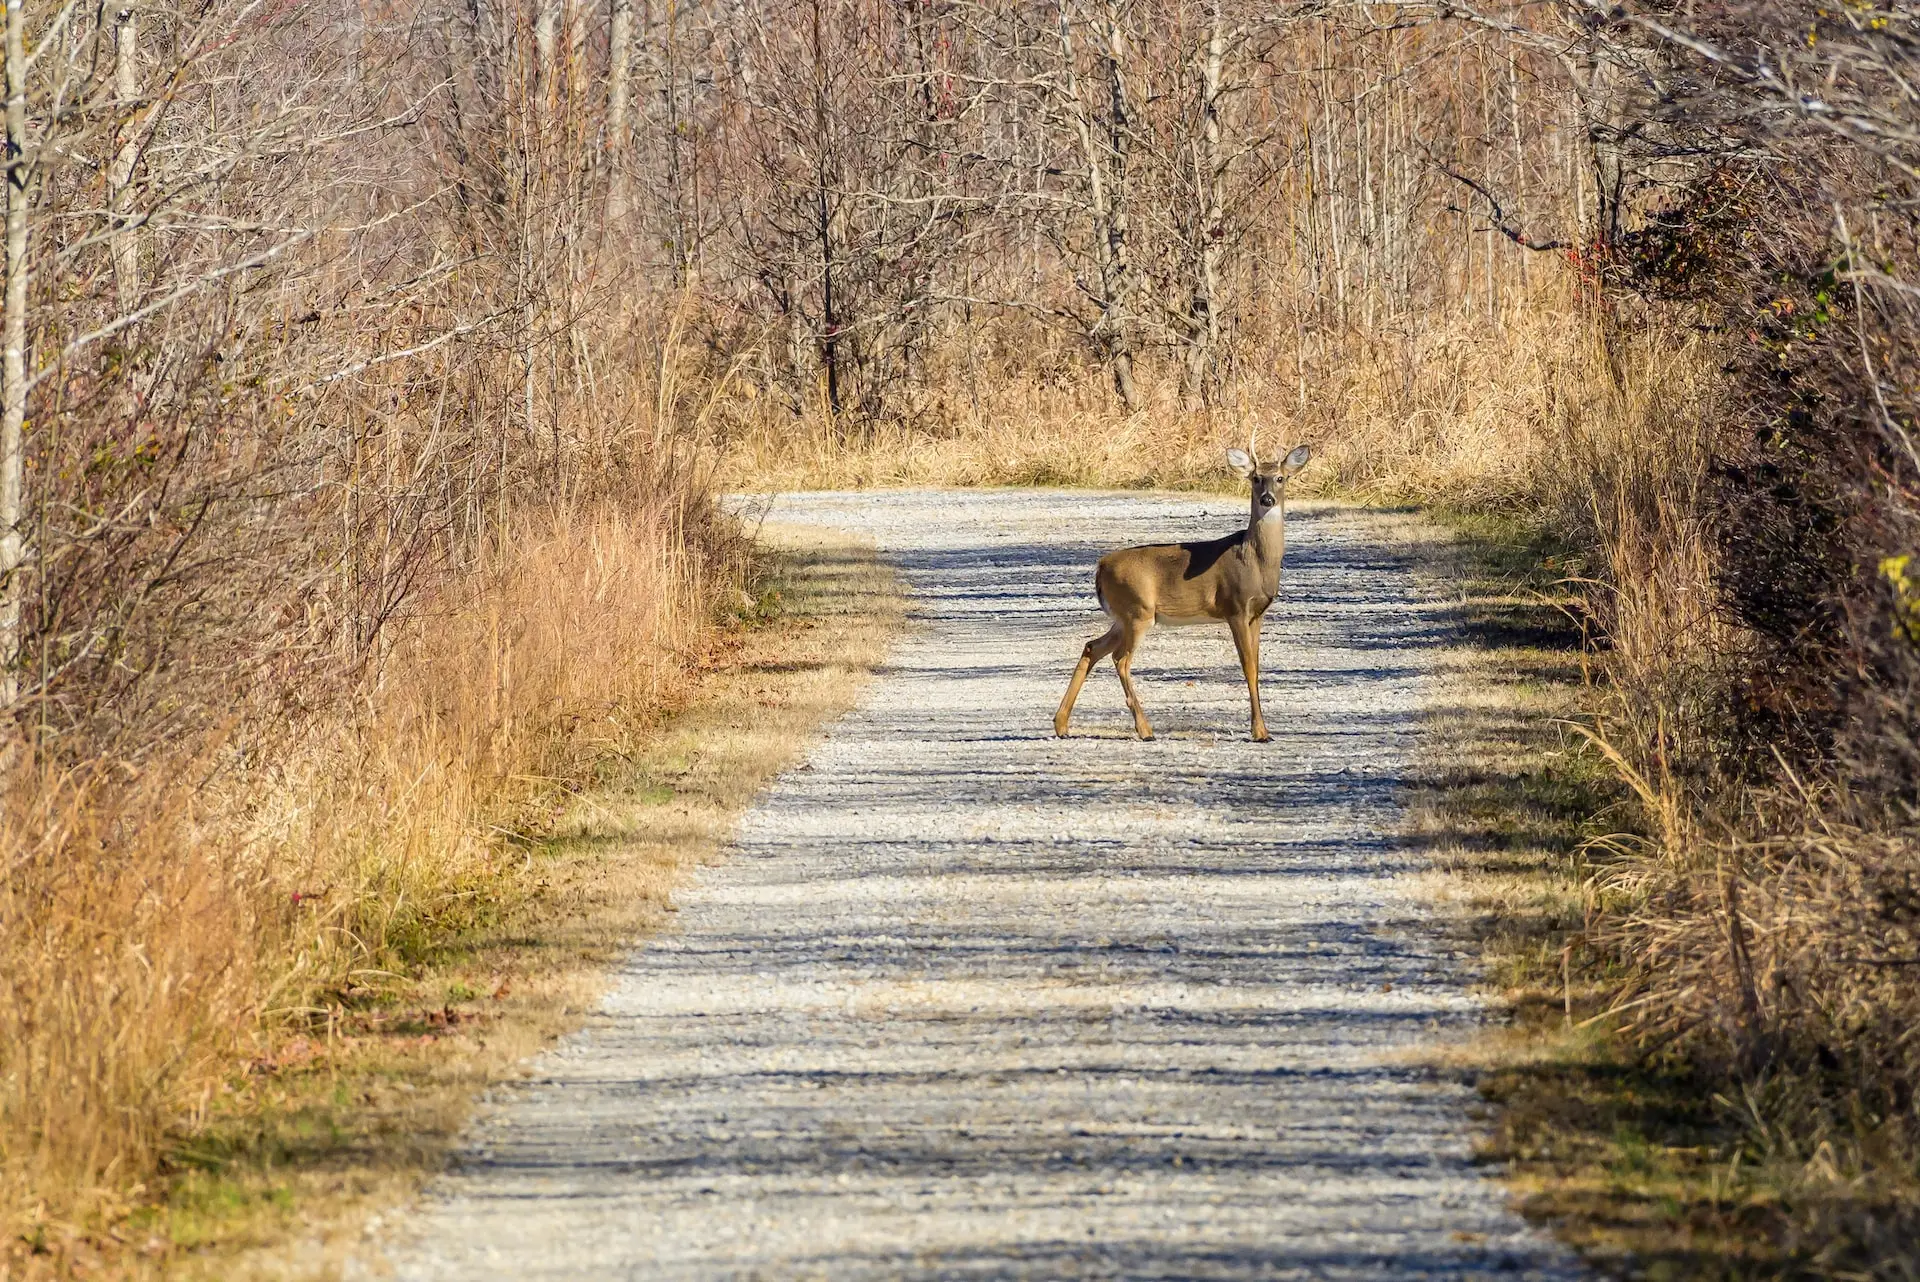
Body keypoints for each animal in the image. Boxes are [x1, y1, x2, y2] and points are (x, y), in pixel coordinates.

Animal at [1053, 440, 1313, 742]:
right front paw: (1260, 732)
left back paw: (1061, 725)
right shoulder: (1235, 607)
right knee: (1120, 659)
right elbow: (1247, 667)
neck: (1255, 561)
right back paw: (1145, 730)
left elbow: (1257, 668)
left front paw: (1262, 729)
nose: (1267, 499)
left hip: (1122, 616)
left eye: (1281, 478)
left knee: (1091, 647)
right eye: (1256, 478)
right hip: (1137, 611)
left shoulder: (1257, 614)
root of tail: (1100, 566)